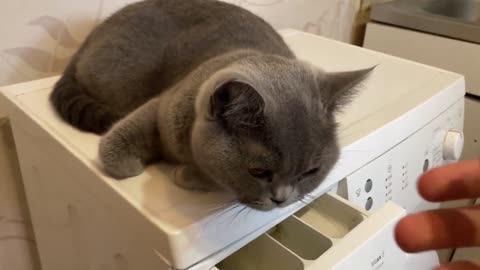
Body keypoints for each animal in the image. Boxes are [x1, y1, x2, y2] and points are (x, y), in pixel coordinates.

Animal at [49, 0, 372, 211]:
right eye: (259, 172)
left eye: (310, 172)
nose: (282, 199)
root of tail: (91, 36)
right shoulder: (160, 106)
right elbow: (114, 151)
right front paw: (136, 164)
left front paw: (187, 174)